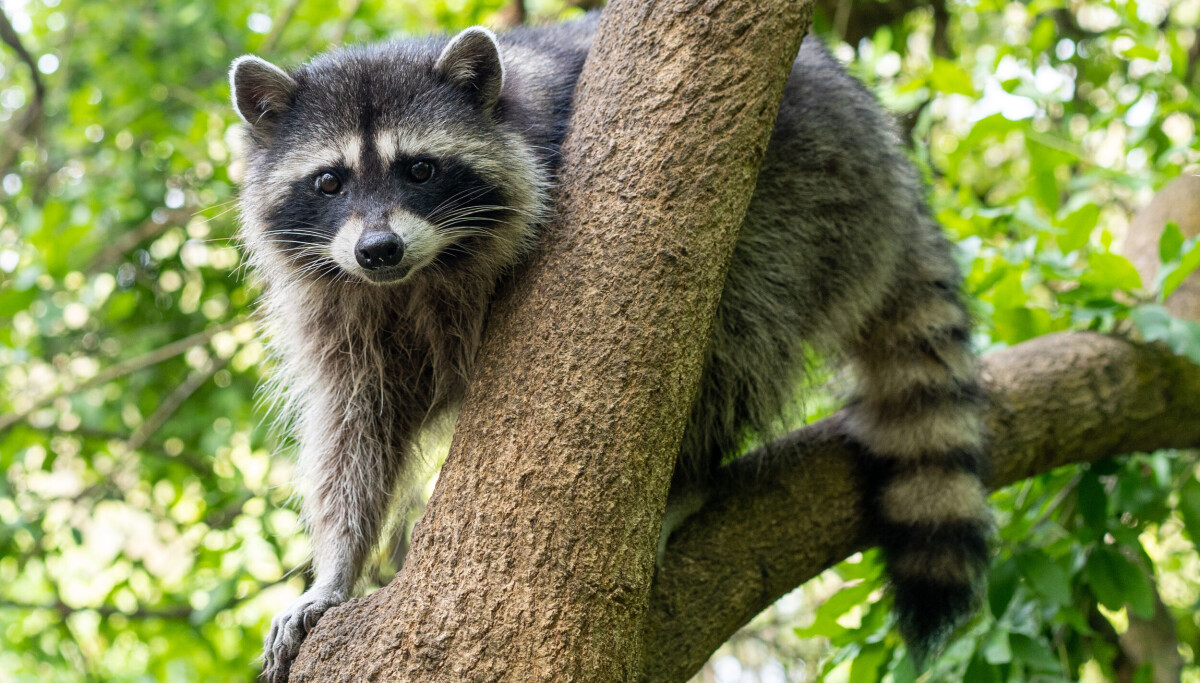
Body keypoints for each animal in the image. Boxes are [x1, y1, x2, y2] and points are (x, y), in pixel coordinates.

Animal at [230, 12, 991, 681]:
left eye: (419, 170)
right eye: (330, 181)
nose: (378, 248)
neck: (416, 274)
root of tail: (889, 161)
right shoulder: (339, 306)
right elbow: (356, 426)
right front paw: (336, 566)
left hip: (812, 194)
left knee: (735, 327)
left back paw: (690, 477)